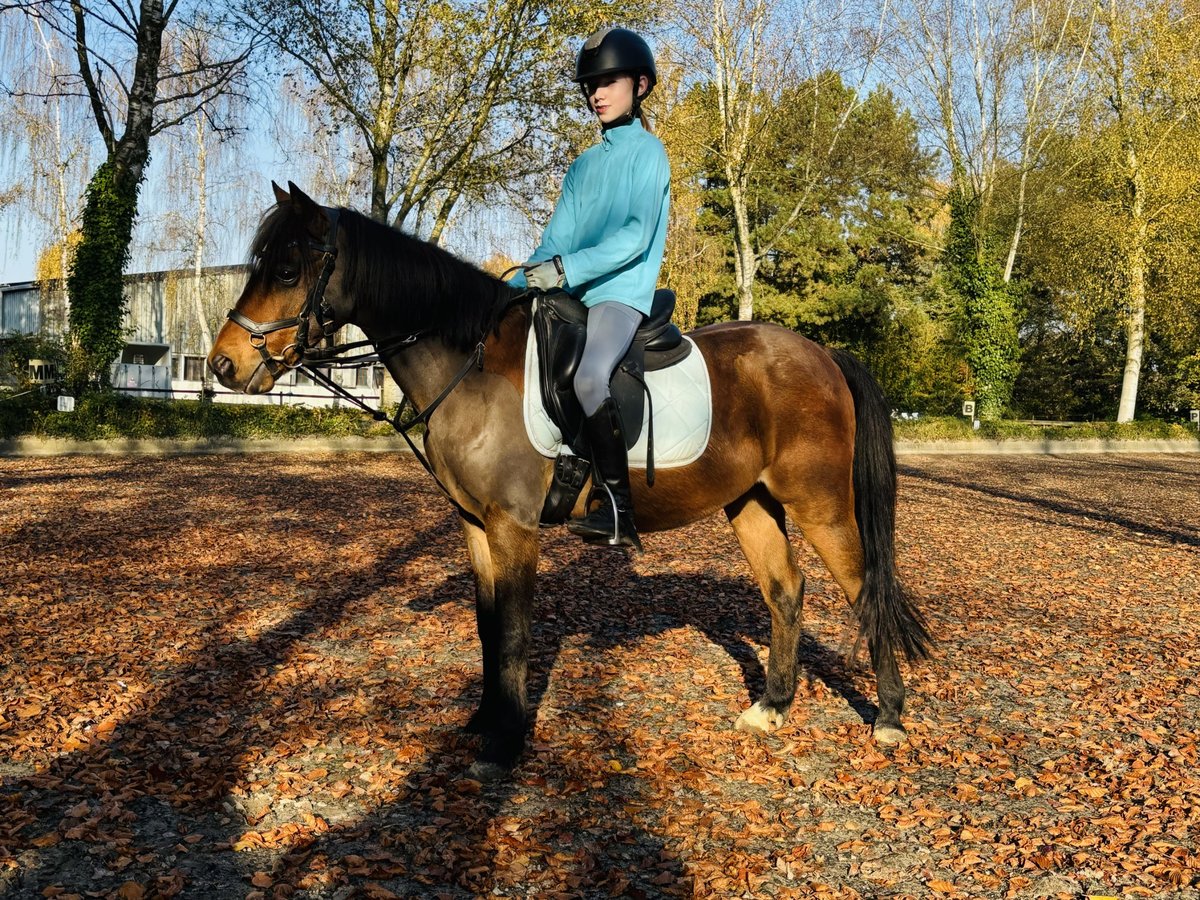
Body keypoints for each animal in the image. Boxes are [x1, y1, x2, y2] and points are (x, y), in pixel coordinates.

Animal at [211, 184, 931, 782]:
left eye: (286, 270)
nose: (224, 364)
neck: (471, 362)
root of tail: (819, 354)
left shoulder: (514, 527)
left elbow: (515, 633)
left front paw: (505, 744)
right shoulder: (476, 526)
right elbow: (488, 626)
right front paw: (484, 722)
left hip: (819, 502)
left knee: (867, 589)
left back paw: (890, 717)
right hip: (750, 501)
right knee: (785, 591)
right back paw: (773, 706)